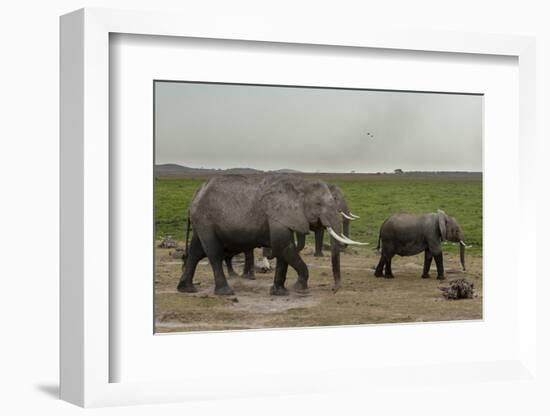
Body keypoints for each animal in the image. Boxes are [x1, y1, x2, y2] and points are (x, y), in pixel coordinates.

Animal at [177, 173, 366, 296]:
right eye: (318, 203)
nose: (334, 289)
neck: (299, 184)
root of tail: (195, 196)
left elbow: (283, 250)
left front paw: (279, 292)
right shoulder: (277, 214)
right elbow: (283, 247)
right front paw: (299, 288)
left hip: (201, 222)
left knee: (196, 252)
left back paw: (186, 289)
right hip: (205, 220)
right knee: (214, 253)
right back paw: (226, 292)